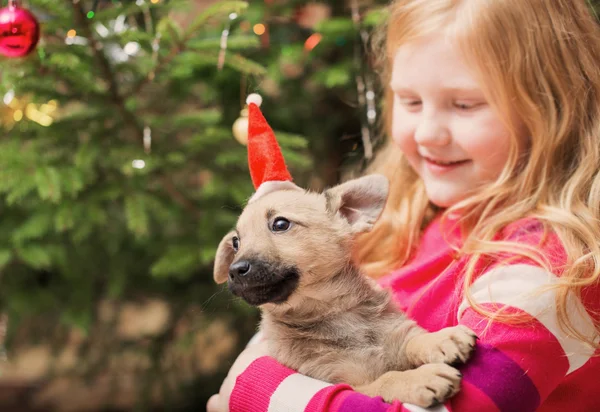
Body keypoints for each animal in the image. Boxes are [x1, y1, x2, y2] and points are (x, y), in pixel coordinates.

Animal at [213, 175, 476, 406]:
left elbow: (413, 341)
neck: (334, 311)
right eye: (236, 243)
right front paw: (420, 378)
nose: (235, 270)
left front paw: (442, 338)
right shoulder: (348, 382)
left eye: (280, 224)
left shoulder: (396, 333)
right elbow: (386, 379)